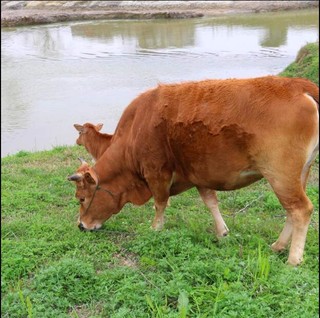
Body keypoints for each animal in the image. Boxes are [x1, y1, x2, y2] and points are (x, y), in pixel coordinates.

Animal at [67, 77, 318, 266]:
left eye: (81, 198)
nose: (81, 226)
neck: (136, 129)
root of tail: (298, 85)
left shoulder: (156, 172)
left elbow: (160, 203)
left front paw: (155, 228)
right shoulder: (199, 175)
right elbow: (211, 202)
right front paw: (221, 232)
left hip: (280, 175)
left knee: (300, 210)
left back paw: (293, 259)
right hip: (298, 175)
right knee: (290, 211)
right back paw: (279, 245)